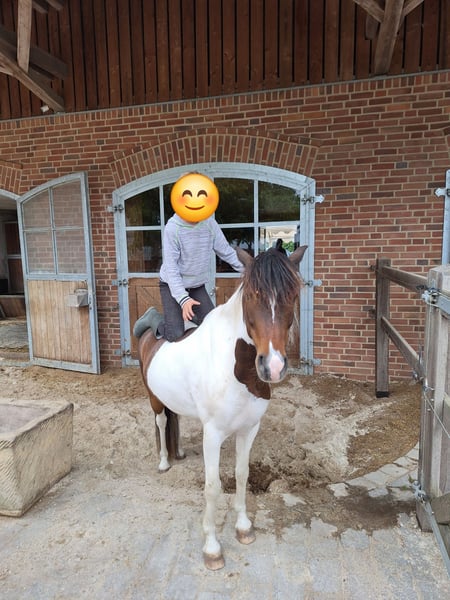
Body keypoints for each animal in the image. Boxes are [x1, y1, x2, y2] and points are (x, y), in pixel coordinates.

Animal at [136, 244, 307, 570]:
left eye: (294, 293)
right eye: (252, 294)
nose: (273, 367)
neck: (237, 368)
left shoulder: (249, 429)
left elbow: (241, 474)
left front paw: (243, 528)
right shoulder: (213, 435)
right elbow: (213, 486)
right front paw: (212, 548)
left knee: (176, 419)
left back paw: (178, 452)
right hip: (154, 399)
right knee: (162, 423)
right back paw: (164, 461)